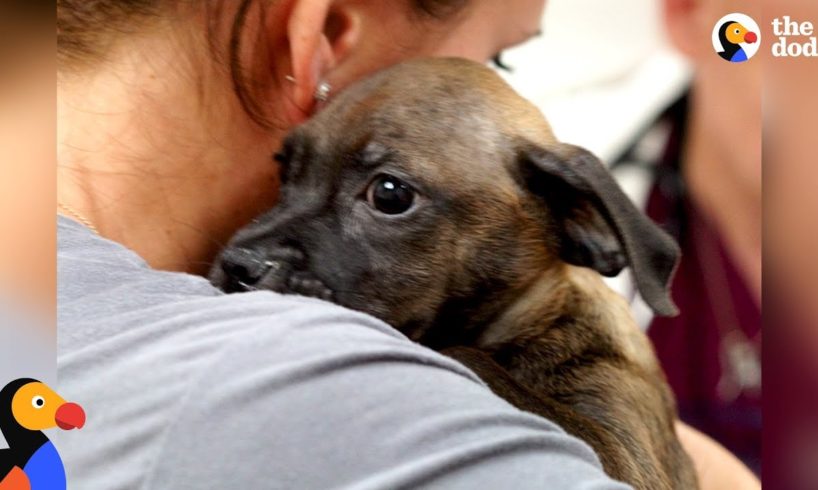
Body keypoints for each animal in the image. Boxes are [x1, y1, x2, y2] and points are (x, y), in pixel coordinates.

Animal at [209, 58, 696, 490]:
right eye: (284, 171)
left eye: (390, 194)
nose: (238, 264)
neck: (535, 319)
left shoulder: (628, 456)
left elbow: (466, 353)